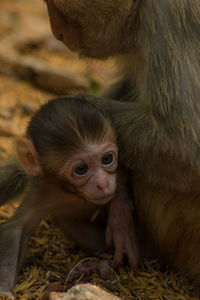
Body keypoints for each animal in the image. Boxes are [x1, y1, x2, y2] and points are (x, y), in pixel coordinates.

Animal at [0, 95, 139, 298]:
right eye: (81, 169)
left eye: (107, 159)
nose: (103, 183)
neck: (72, 192)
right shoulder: (42, 190)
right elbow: (16, 228)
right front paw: (3, 288)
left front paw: (120, 220)